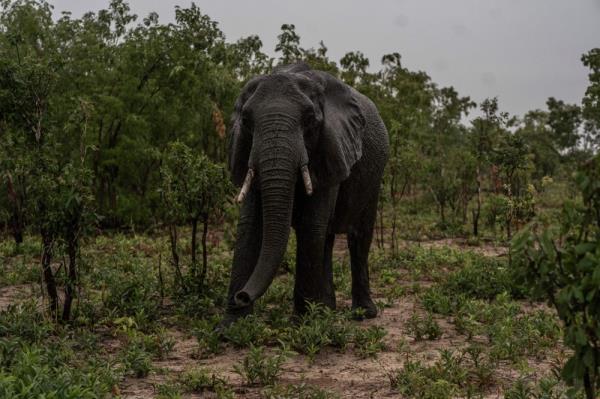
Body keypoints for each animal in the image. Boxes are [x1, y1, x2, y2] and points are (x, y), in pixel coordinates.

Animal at [220, 61, 390, 328]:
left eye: (310, 120)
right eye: (246, 120)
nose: (242, 295)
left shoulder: (330, 147)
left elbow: (310, 224)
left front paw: (302, 325)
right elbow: (250, 225)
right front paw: (230, 327)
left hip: (375, 175)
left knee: (358, 235)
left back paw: (361, 314)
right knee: (327, 238)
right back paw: (327, 310)